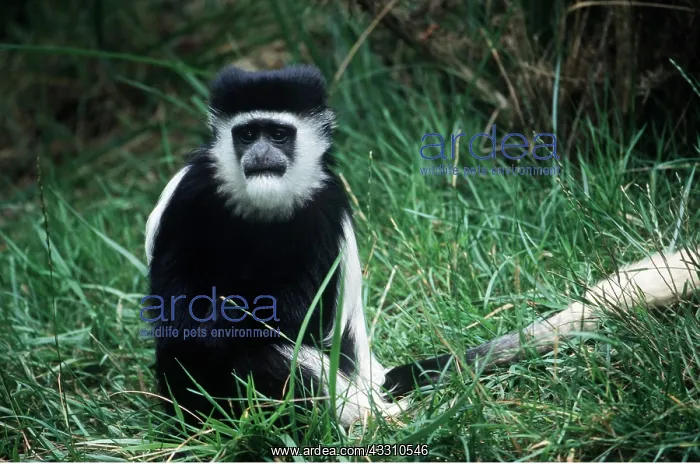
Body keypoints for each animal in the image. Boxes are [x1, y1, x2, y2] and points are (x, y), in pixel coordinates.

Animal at [144, 64, 700, 429]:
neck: (264, 204)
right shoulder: (194, 192)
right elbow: (175, 301)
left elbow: (296, 318)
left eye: (278, 135)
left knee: (270, 355)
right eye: (247, 134)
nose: (259, 154)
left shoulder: (325, 205)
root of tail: (371, 382)